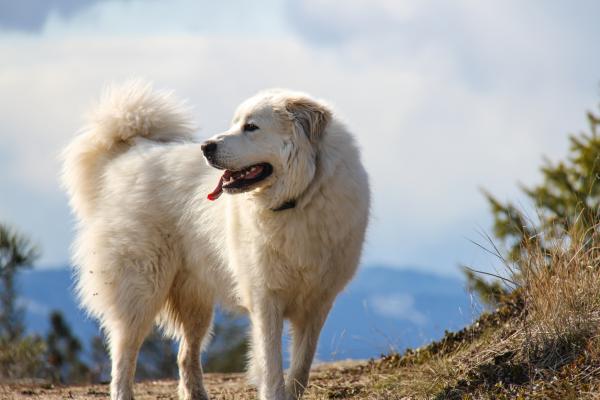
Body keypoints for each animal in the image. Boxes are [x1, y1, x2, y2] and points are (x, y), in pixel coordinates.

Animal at [62, 81, 370, 400]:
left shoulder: (317, 303)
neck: (299, 198)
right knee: (124, 354)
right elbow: (271, 364)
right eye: (235, 123)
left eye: (251, 127)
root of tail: (131, 153)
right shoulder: (265, 298)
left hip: (195, 302)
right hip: (141, 288)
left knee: (185, 354)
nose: (206, 147)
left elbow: (301, 367)